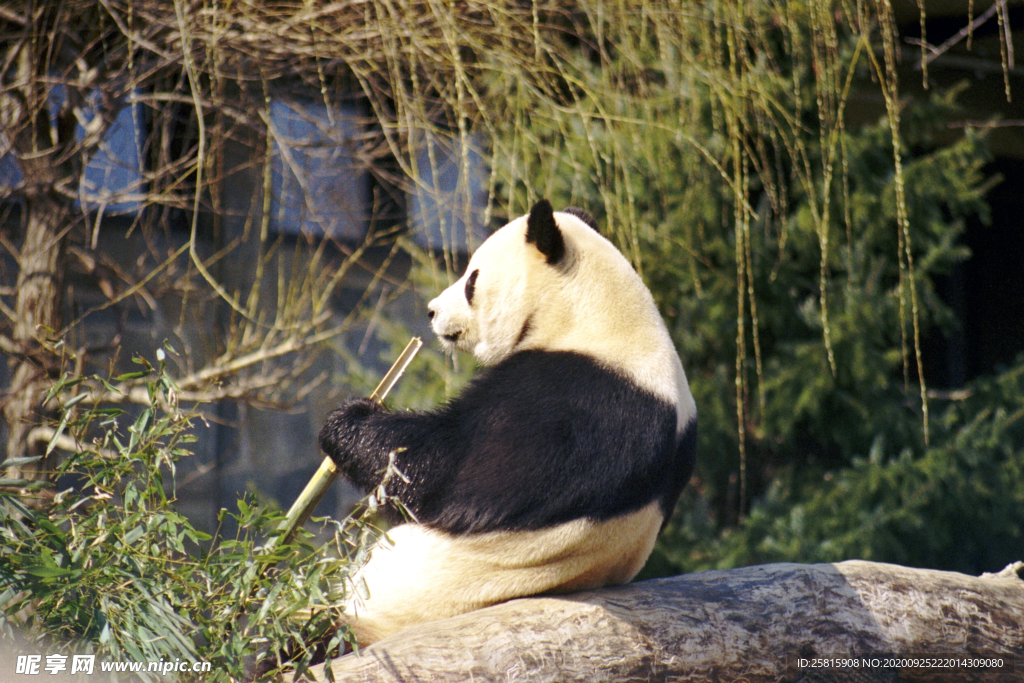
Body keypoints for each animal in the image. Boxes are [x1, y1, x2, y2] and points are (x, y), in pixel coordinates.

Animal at [321, 197, 696, 647]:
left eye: (471, 279)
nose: (432, 311)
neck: (596, 314)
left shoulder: (575, 403)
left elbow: (442, 469)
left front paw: (347, 420)